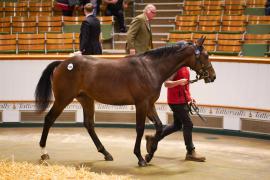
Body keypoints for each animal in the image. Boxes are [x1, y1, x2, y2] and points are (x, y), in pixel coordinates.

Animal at [34, 37, 216, 167]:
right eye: (206, 55)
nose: (213, 76)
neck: (151, 68)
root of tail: (63, 63)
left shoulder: (149, 104)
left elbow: (158, 127)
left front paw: (149, 153)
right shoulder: (141, 104)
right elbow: (140, 129)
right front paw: (140, 157)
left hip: (86, 99)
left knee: (89, 124)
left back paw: (106, 153)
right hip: (63, 99)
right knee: (49, 119)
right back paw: (43, 152)